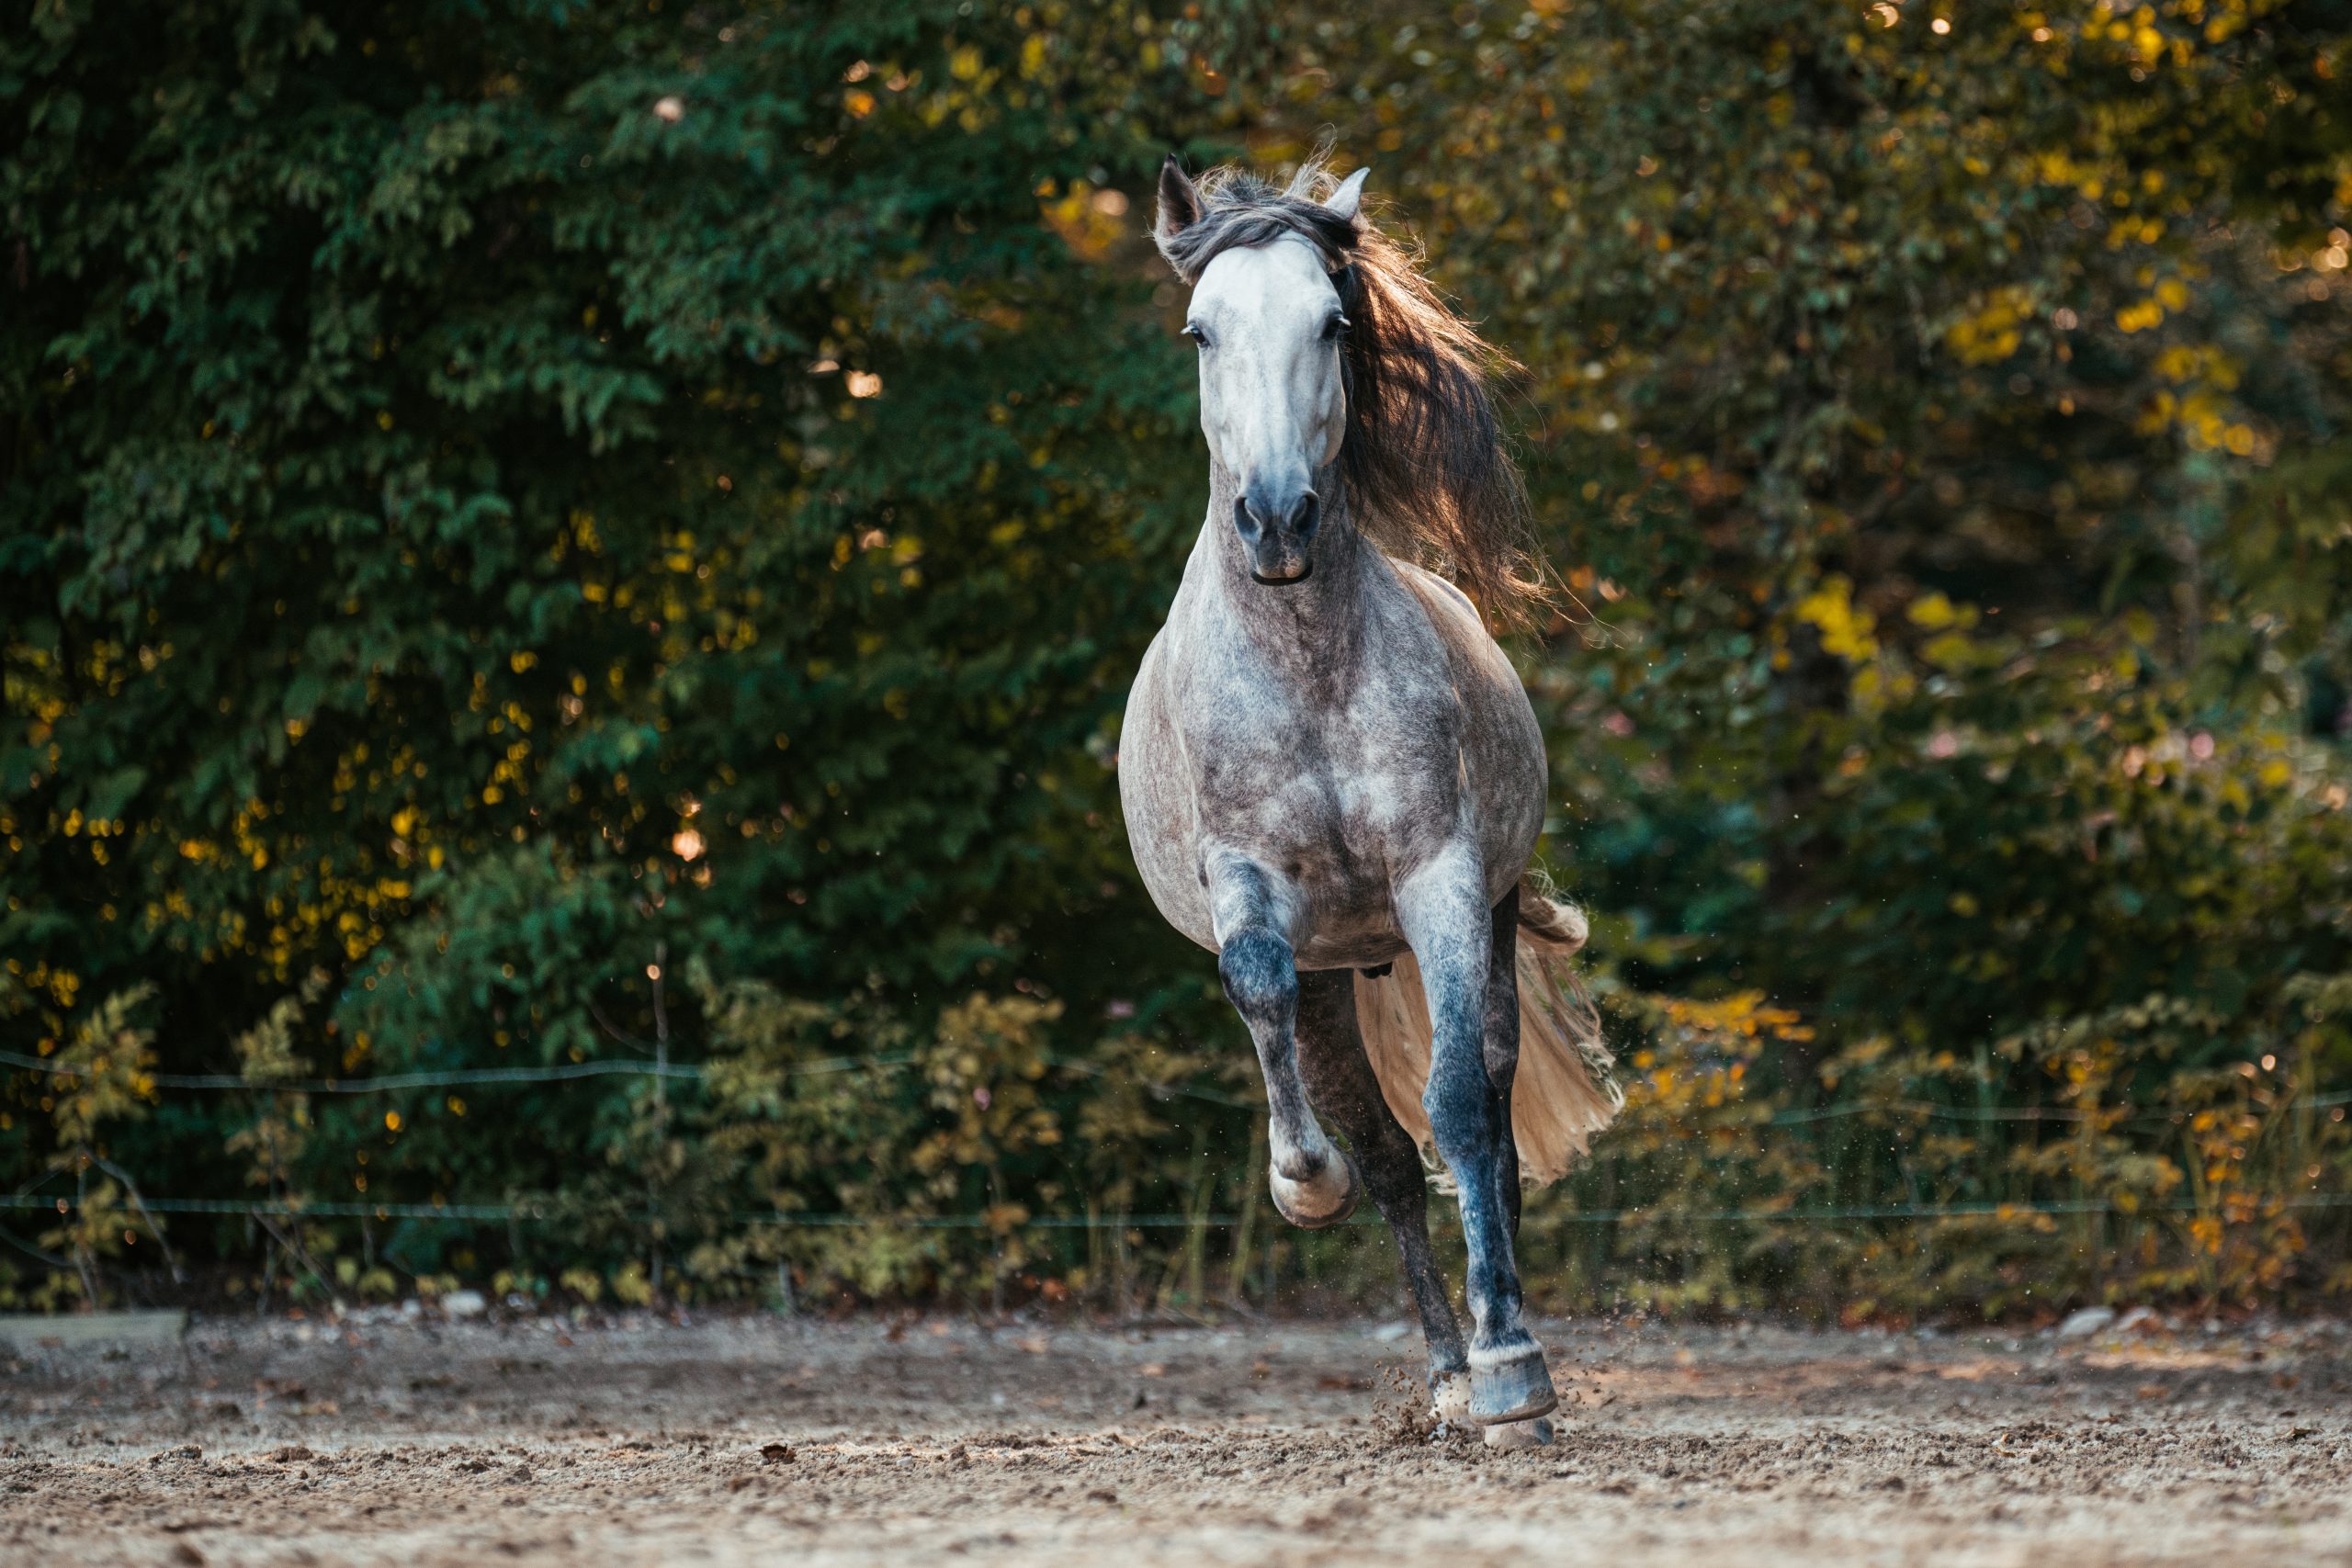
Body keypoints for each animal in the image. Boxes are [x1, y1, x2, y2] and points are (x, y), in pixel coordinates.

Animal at [1118, 153, 1619, 1448]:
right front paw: (1304, 1185)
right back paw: (1442, 1372)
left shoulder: (1440, 876)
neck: (1306, 664)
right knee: (1388, 1158)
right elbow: (1259, 991)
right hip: (1339, 975)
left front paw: (1514, 1371)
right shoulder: (1249, 885)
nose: (1276, 519)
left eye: (1333, 323)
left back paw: (1497, 1360)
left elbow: (1460, 1108)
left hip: (1472, 928)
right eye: (1200, 332)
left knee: (1481, 1108)